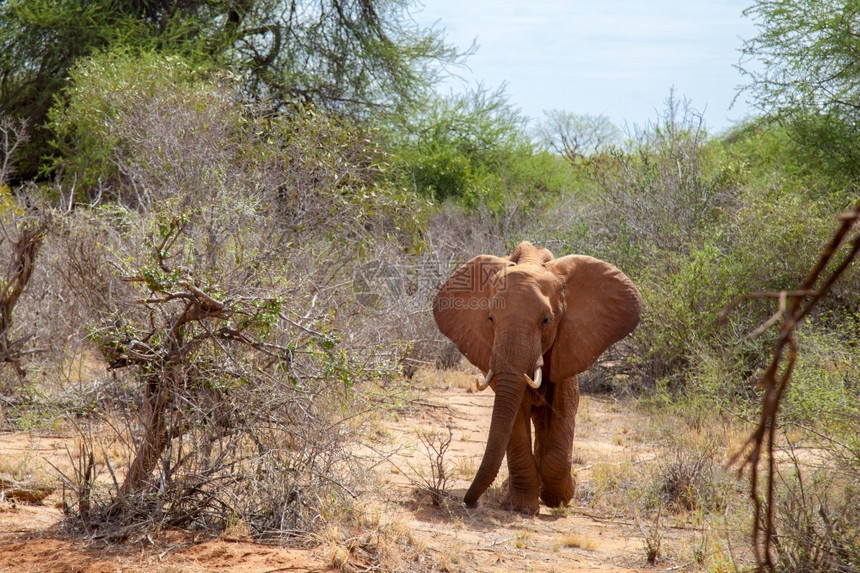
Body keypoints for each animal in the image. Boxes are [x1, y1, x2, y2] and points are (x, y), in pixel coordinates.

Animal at [434, 239, 640, 512]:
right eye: (490, 318)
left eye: (547, 320)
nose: (469, 503)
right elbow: (515, 415)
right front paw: (521, 506)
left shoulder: (569, 342)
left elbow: (564, 407)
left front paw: (560, 497)